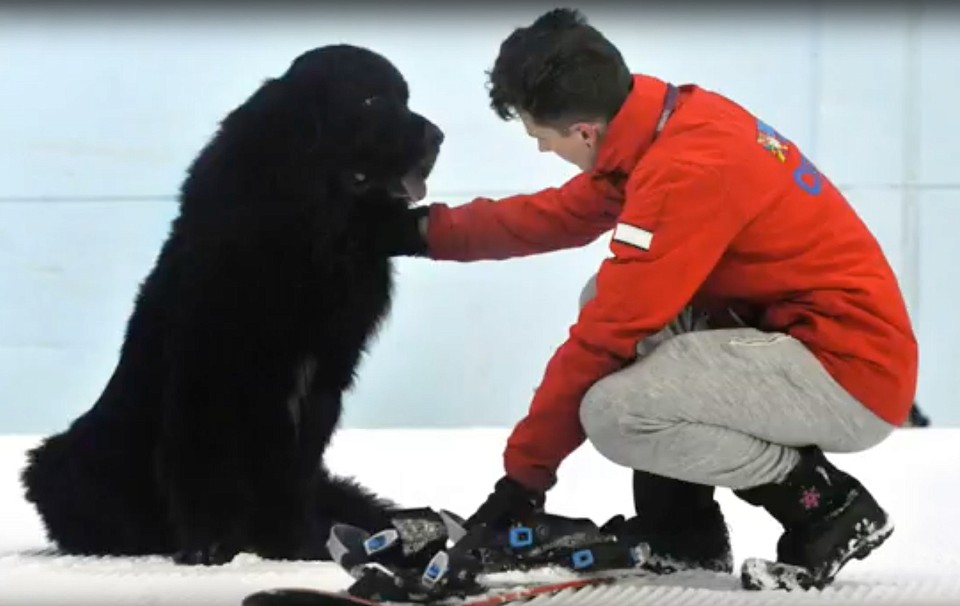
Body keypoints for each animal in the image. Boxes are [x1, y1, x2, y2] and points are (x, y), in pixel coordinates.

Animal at [20, 45, 444, 568]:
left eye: (405, 98)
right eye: (371, 99)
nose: (438, 137)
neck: (316, 228)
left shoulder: (322, 381)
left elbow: (291, 471)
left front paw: (294, 544)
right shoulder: (212, 367)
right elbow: (207, 461)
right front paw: (212, 545)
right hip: (63, 465)